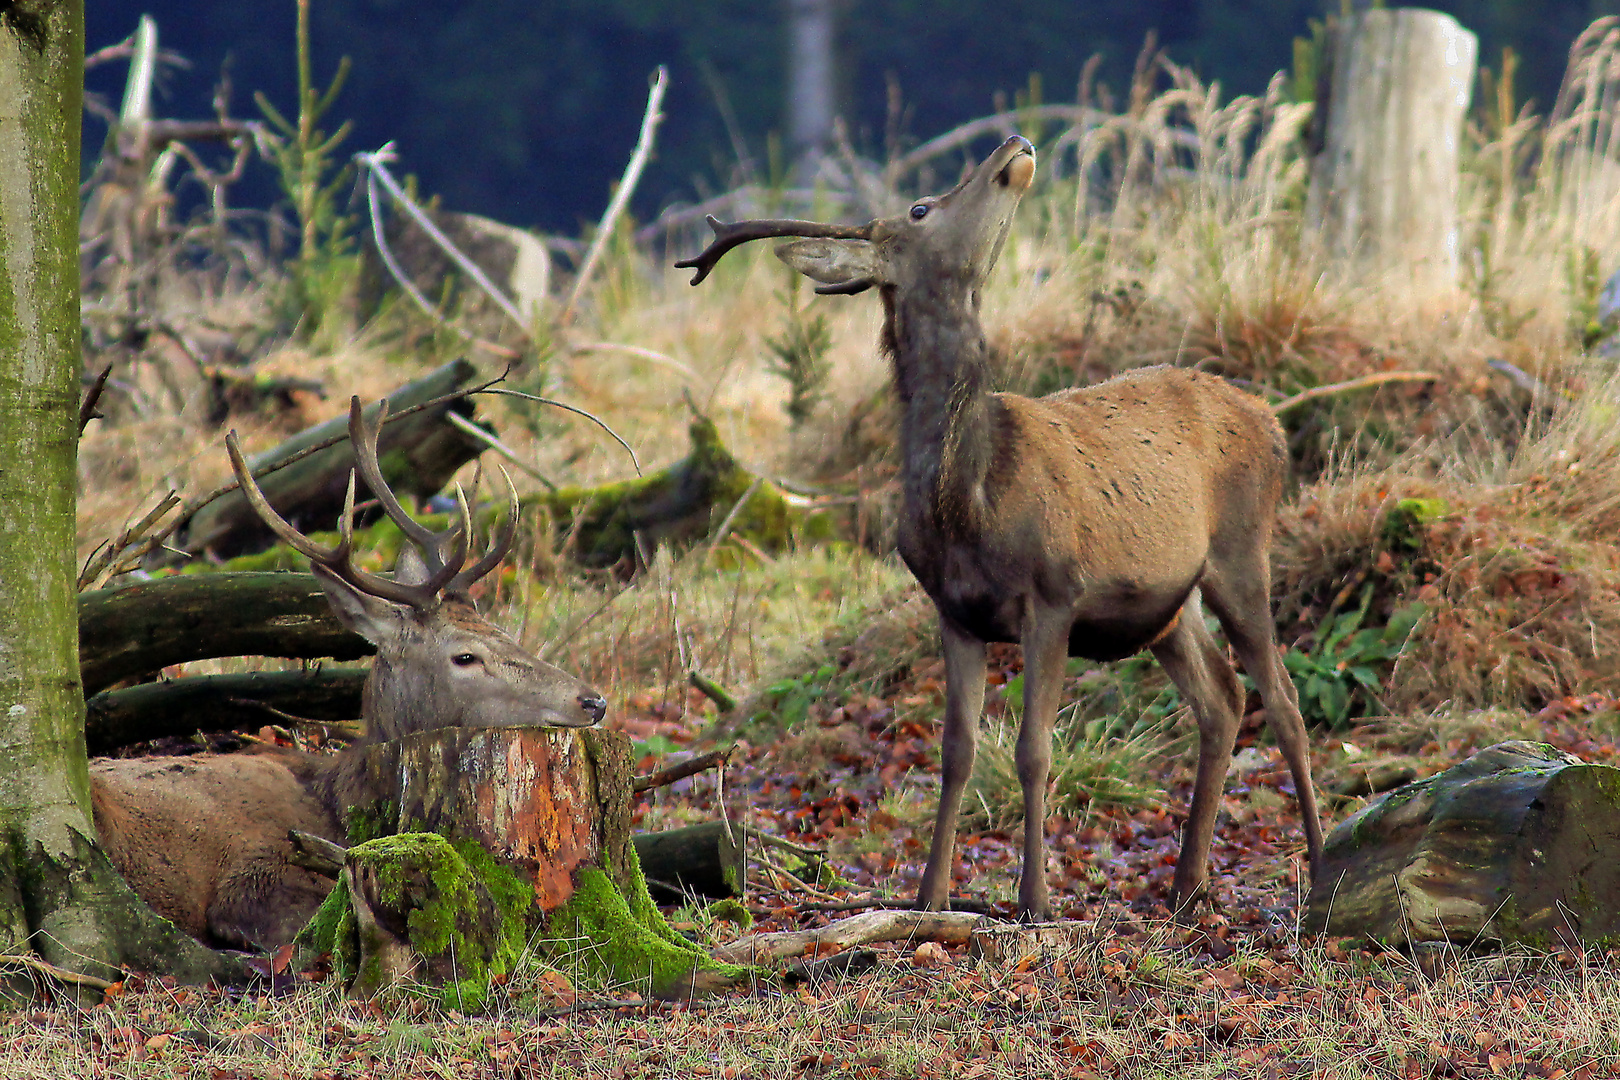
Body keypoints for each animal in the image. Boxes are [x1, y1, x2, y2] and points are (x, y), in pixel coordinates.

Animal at [677, 131, 1321, 919]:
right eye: (921, 208)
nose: (1014, 144)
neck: (968, 502)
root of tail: (1271, 420)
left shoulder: (1054, 592)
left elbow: (1032, 750)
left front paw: (1035, 900)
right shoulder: (953, 610)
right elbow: (955, 751)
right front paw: (929, 896)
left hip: (1240, 552)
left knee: (1283, 700)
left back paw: (1321, 864)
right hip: (1169, 605)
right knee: (1224, 700)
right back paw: (1186, 886)